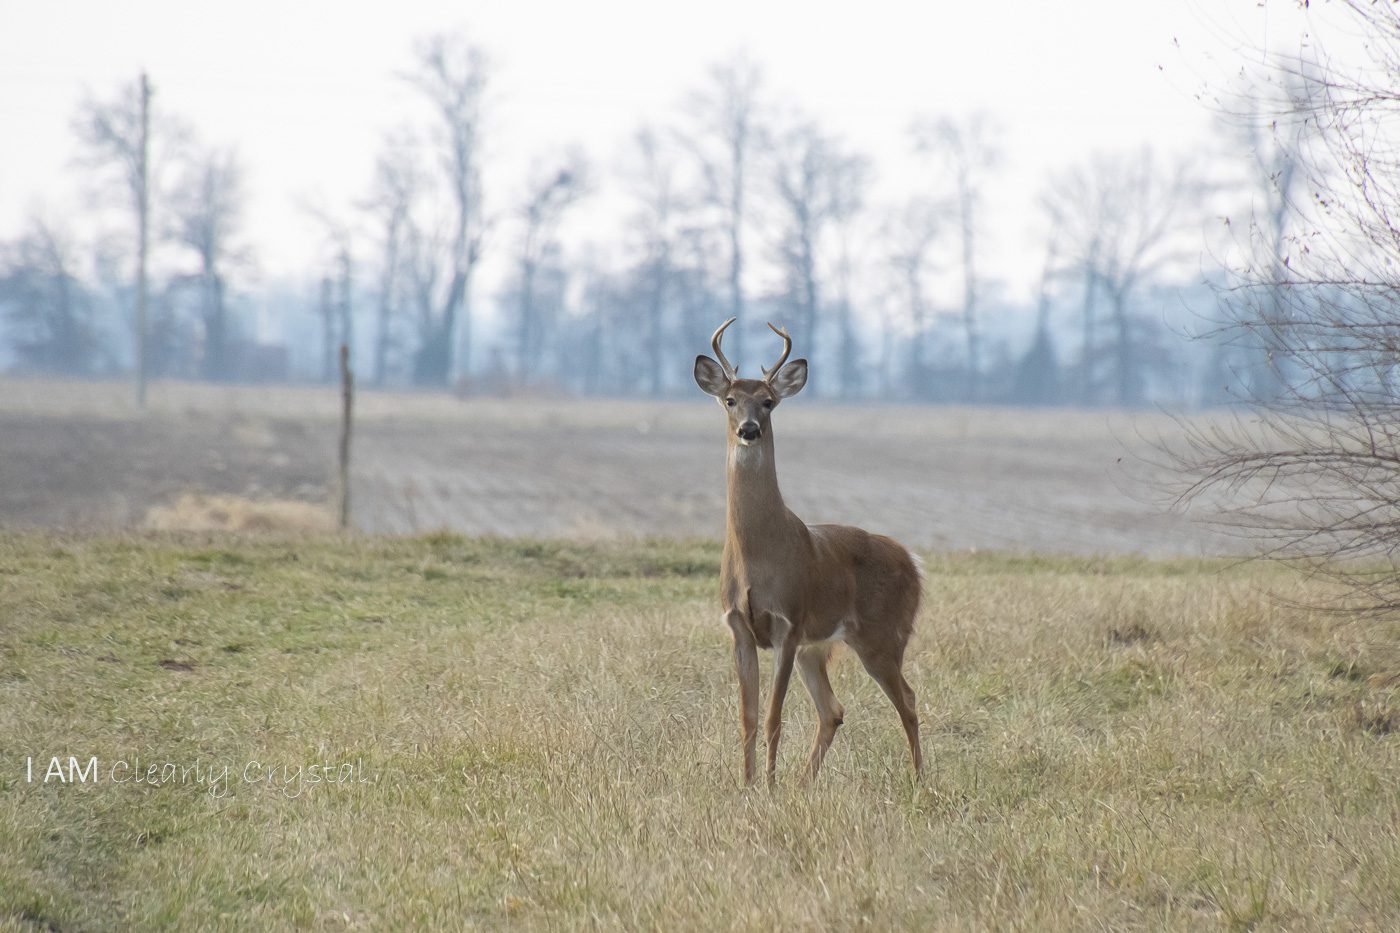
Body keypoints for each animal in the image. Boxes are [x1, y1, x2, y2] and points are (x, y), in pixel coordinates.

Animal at [694, 316, 924, 778]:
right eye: (730, 400)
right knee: (832, 710)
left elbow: (772, 716)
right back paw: (804, 783)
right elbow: (747, 717)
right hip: (817, 648)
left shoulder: (789, 622)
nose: (749, 429)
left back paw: (921, 779)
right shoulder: (738, 625)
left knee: (908, 700)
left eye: (768, 402)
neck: (758, 556)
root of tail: (913, 562)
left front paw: (767, 785)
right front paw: (747, 784)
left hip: (883, 634)